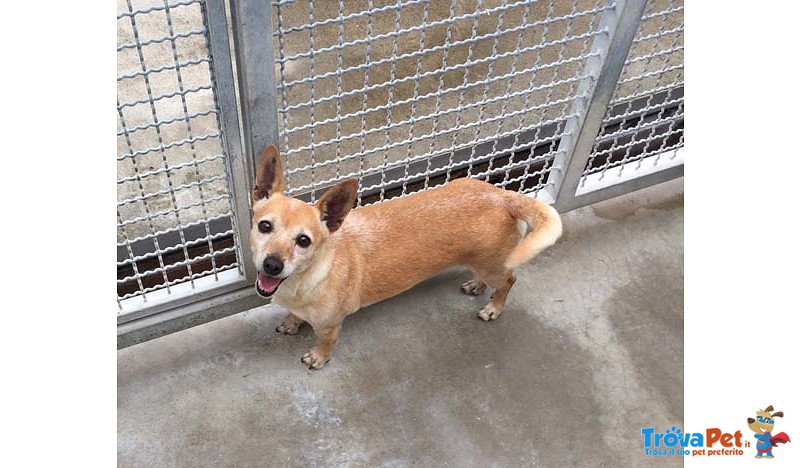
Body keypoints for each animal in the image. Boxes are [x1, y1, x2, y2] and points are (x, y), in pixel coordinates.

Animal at [250, 144, 564, 368]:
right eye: (264, 226)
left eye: (304, 241)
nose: (272, 264)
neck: (304, 279)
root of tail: (502, 196)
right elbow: (294, 314)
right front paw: (292, 322)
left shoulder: (330, 326)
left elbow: (325, 343)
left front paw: (318, 357)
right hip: (485, 261)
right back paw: (476, 285)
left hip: (495, 265)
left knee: (509, 281)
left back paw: (494, 308)